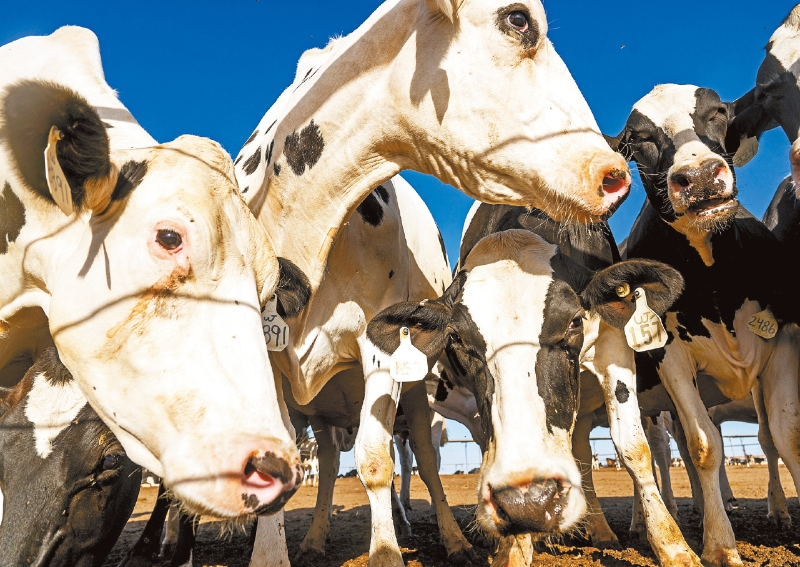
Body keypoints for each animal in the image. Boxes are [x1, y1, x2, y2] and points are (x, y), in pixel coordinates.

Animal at [608, 84, 800, 567]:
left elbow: (786, 435)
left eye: (717, 112)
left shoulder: (784, 339)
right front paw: (720, 544)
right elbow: (704, 446)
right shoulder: (669, 352)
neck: (714, 279)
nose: (696, 176)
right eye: (639, 139)